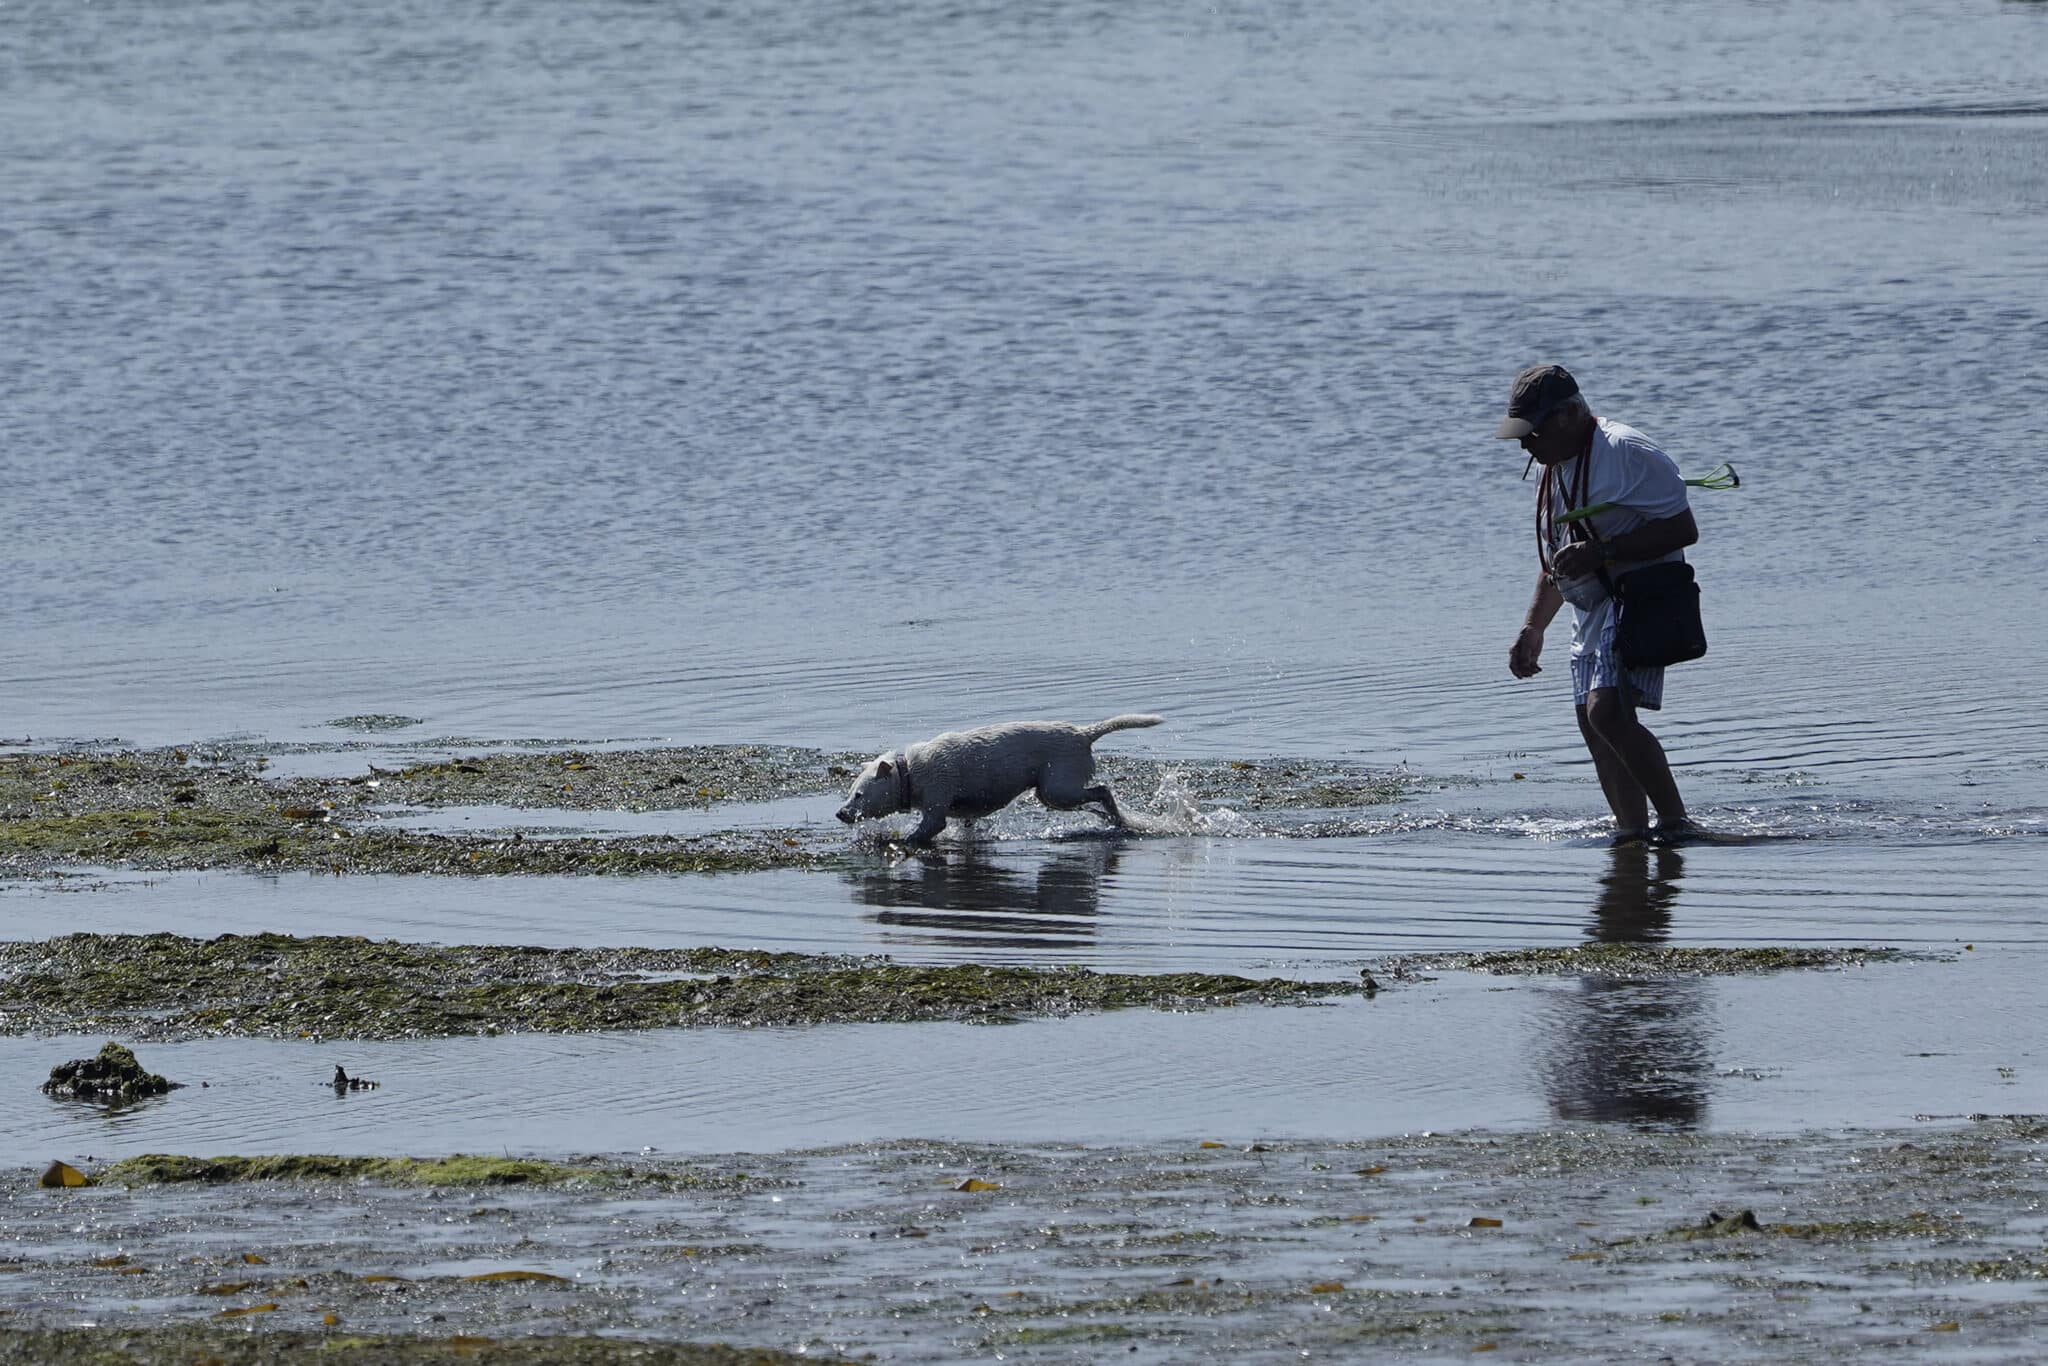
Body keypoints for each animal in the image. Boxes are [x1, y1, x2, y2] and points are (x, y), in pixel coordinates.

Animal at [831, 716, 1155, 843]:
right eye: (850, 792)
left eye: (859, 795)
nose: (840, 813)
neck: (908, 772)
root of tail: (1084, 734)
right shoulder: (965, 813)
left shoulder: (936, 806)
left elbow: (924, 831)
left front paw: (900, 841)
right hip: (1052, 792)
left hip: (1058, 789)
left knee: (1103, 791)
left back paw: (1118, 820)